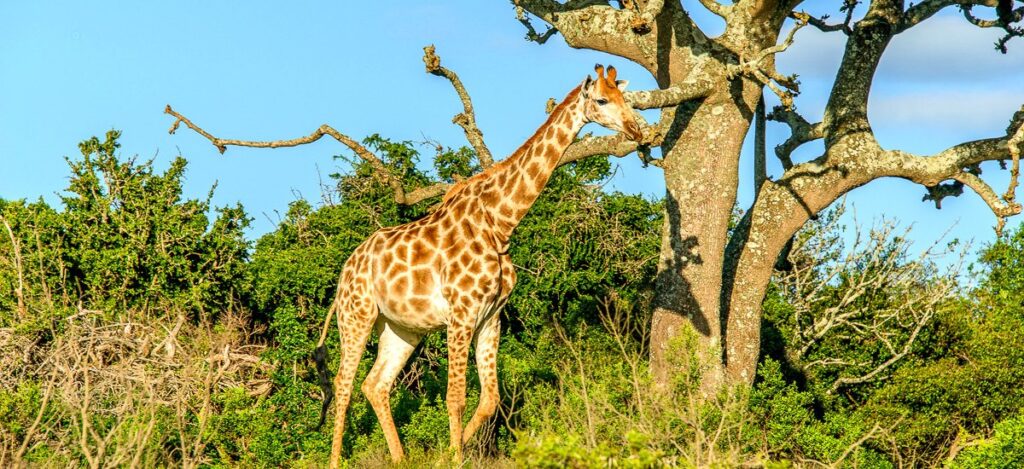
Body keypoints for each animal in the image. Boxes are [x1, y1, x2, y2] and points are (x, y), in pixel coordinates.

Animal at [313, 64, 642, 465]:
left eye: (625, 97)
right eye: (601, 100)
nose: (636, 130)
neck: (499, 223)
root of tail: (345, 272)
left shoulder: (491, 316)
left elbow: (490, 399)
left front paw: (454, 451)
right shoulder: (461, 313)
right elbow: (456, 397)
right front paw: (454, 457)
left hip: (401, 327)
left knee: (375, 384)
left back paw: (401, 458)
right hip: (357, 316)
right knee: (343, 386)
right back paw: (335, 460)